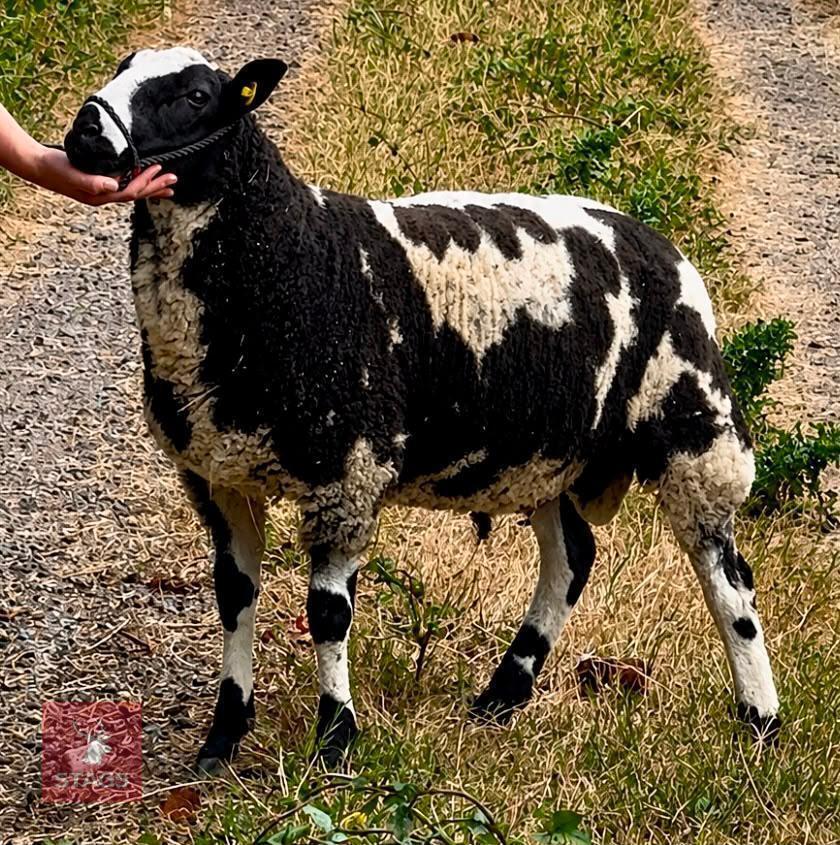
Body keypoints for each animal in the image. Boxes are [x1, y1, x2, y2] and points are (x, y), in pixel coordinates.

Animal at [64, 47, 781, 771]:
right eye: (123, 66)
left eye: (195, 96)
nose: (87, 130)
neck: (293, 257)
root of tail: (668, 250)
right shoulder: (218, 475)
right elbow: (235, 597)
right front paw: (222, 739)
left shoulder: (349, 472)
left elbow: (327, 612)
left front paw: (335, 741)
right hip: (550, 455)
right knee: (573, 558)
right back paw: (502, 696)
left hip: (697, 434)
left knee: (729, 580)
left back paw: (761, 722)